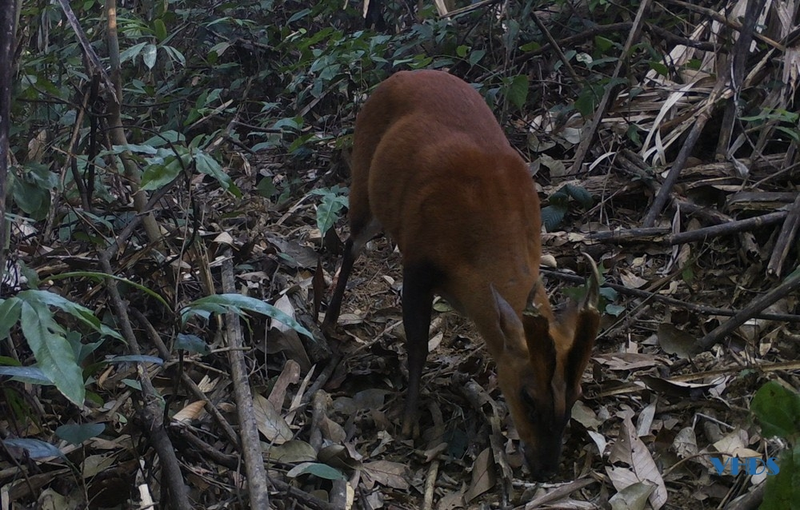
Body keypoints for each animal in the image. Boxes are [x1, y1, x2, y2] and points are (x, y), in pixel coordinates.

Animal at [322, 68, 596, 478]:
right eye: (528, 397)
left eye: (576, 394)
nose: (545, 468)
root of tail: (399, 74)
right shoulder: (417, 262)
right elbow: (417, 344)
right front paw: (409, 422)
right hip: (363, 184)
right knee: (351, 243)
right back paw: (329, 321)